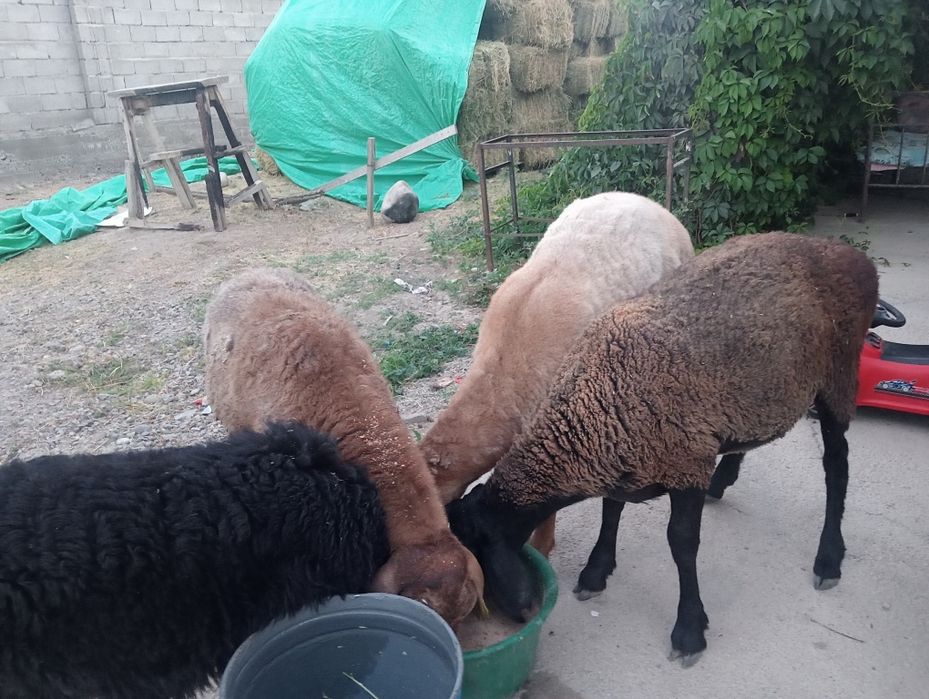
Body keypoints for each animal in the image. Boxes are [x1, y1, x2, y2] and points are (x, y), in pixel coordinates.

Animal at [446, 232, 878, 662]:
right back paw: (725, 477)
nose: (521, 612)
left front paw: (689, 630)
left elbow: (682, 544)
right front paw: (596, 573)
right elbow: (611, 512)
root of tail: (850, 255)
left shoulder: (686, 463)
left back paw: (828, 560)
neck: (591, 408)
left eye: (483, 543)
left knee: (837, 466)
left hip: (839, 372)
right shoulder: (626, 458)